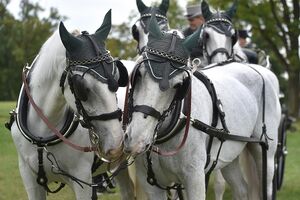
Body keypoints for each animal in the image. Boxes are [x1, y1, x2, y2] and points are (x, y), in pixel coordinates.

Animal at [9, 10, 134, 200]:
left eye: (118, 76)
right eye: (82, 86)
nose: (117, 143)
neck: (43, 135)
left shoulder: (82, 179)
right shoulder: (29, 178)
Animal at [122, 11, 282, 200]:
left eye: (179, 85)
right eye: (139, 74)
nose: (136, 140)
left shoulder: (195, 179)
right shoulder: (151, 185)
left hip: (265, 154)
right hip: (230, 153)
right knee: (241, 189)